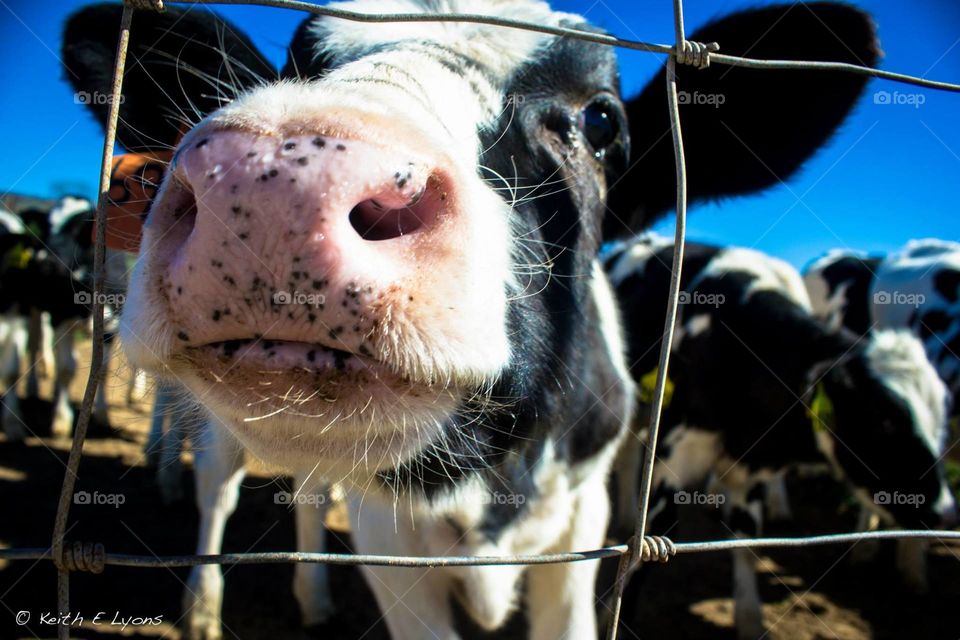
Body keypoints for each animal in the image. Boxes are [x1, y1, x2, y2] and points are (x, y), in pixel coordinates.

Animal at [63, 1, 880, 637]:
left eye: (602, 119)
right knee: (219, 487)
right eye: (294, 64)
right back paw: (205, 603)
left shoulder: (582, 522)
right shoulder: (387, 536)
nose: (276, 185)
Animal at [605, 235, 957, 639]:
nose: (945, 512)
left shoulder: (752, 465)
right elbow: (653, 536)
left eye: (942, 417)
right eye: (884, 420)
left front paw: (749, 618)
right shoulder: (675, 450)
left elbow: (747, 537)